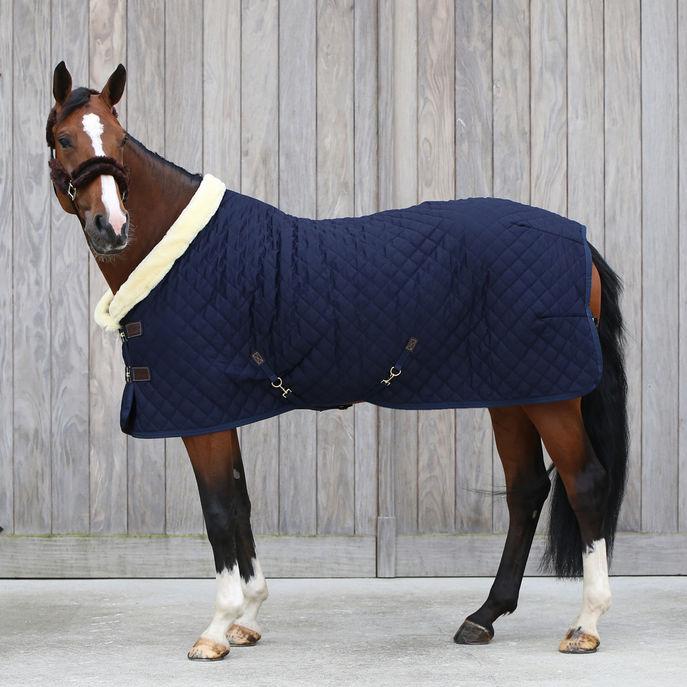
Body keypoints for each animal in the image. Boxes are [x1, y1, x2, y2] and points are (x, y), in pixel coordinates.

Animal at [45, 61, 627, 660]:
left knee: (585, 484)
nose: (112, 227)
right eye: (64, 138)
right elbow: (240, 503)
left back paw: (586, 624)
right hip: (514, 393)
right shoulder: (222, 410)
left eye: (118, 139)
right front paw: (247, 617)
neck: (186, 256)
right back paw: (484, 616)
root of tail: (579, 243)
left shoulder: (202, 416)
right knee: (526, 490)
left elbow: (218, 510)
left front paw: (216, 629)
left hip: (553, 397)